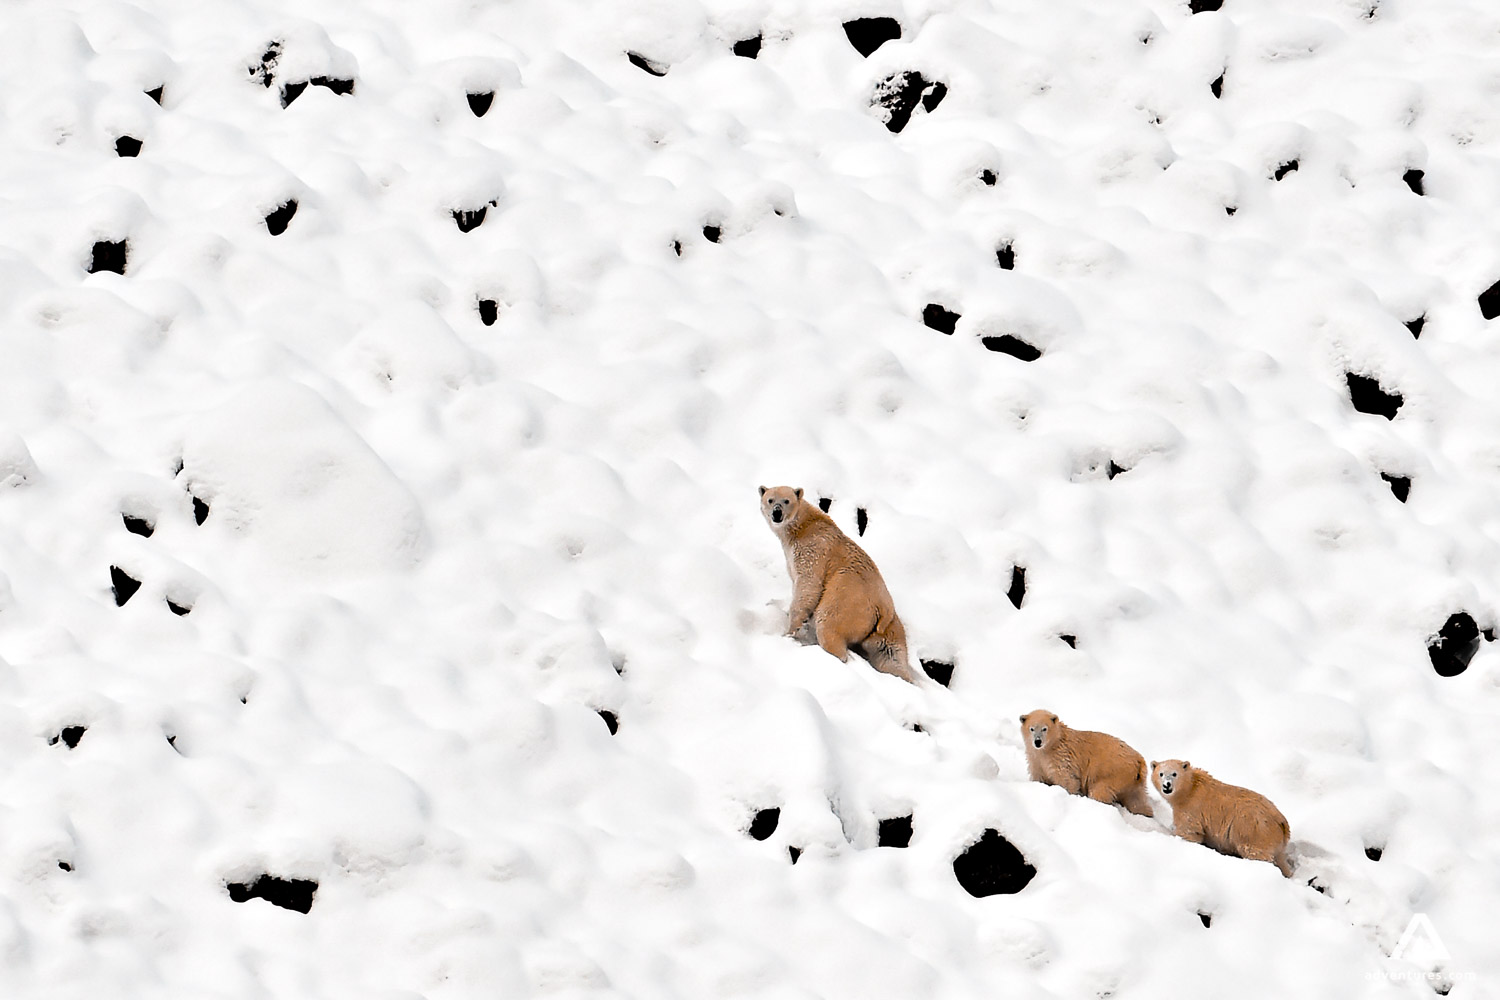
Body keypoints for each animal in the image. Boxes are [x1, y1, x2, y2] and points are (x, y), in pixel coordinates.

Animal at [759, 485, 915, 683]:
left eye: (786, 500)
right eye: (770, 499)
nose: (777, 513)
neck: (803, 526)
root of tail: (883, 609)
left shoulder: (813, 550)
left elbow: (808, 585)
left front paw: (790, 631)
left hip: (846, 599)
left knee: (829, 626)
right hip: (889, 628)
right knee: (891, 656)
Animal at [1020, 710, 1154, 817]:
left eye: (1044, 728)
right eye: (1032, 728)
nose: (1037, 741)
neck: (1052, 745)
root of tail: (1139, 760)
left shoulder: (1061, 758)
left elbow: (1067, 781)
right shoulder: (1035, 759)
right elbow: (1039, 776)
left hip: (1112, 774)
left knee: (1099, 792)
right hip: (1133, 781)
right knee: (1136, 801)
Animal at [1151, 759, 1293, 877]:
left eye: (1174, 774)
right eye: (1161, 774)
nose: (1167, 785)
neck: (1190, 789)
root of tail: (1281, 821)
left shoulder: (1191, 809)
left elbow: (1189, 831)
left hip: (1254, 832)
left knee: (1255, 853)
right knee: (1281, 860)